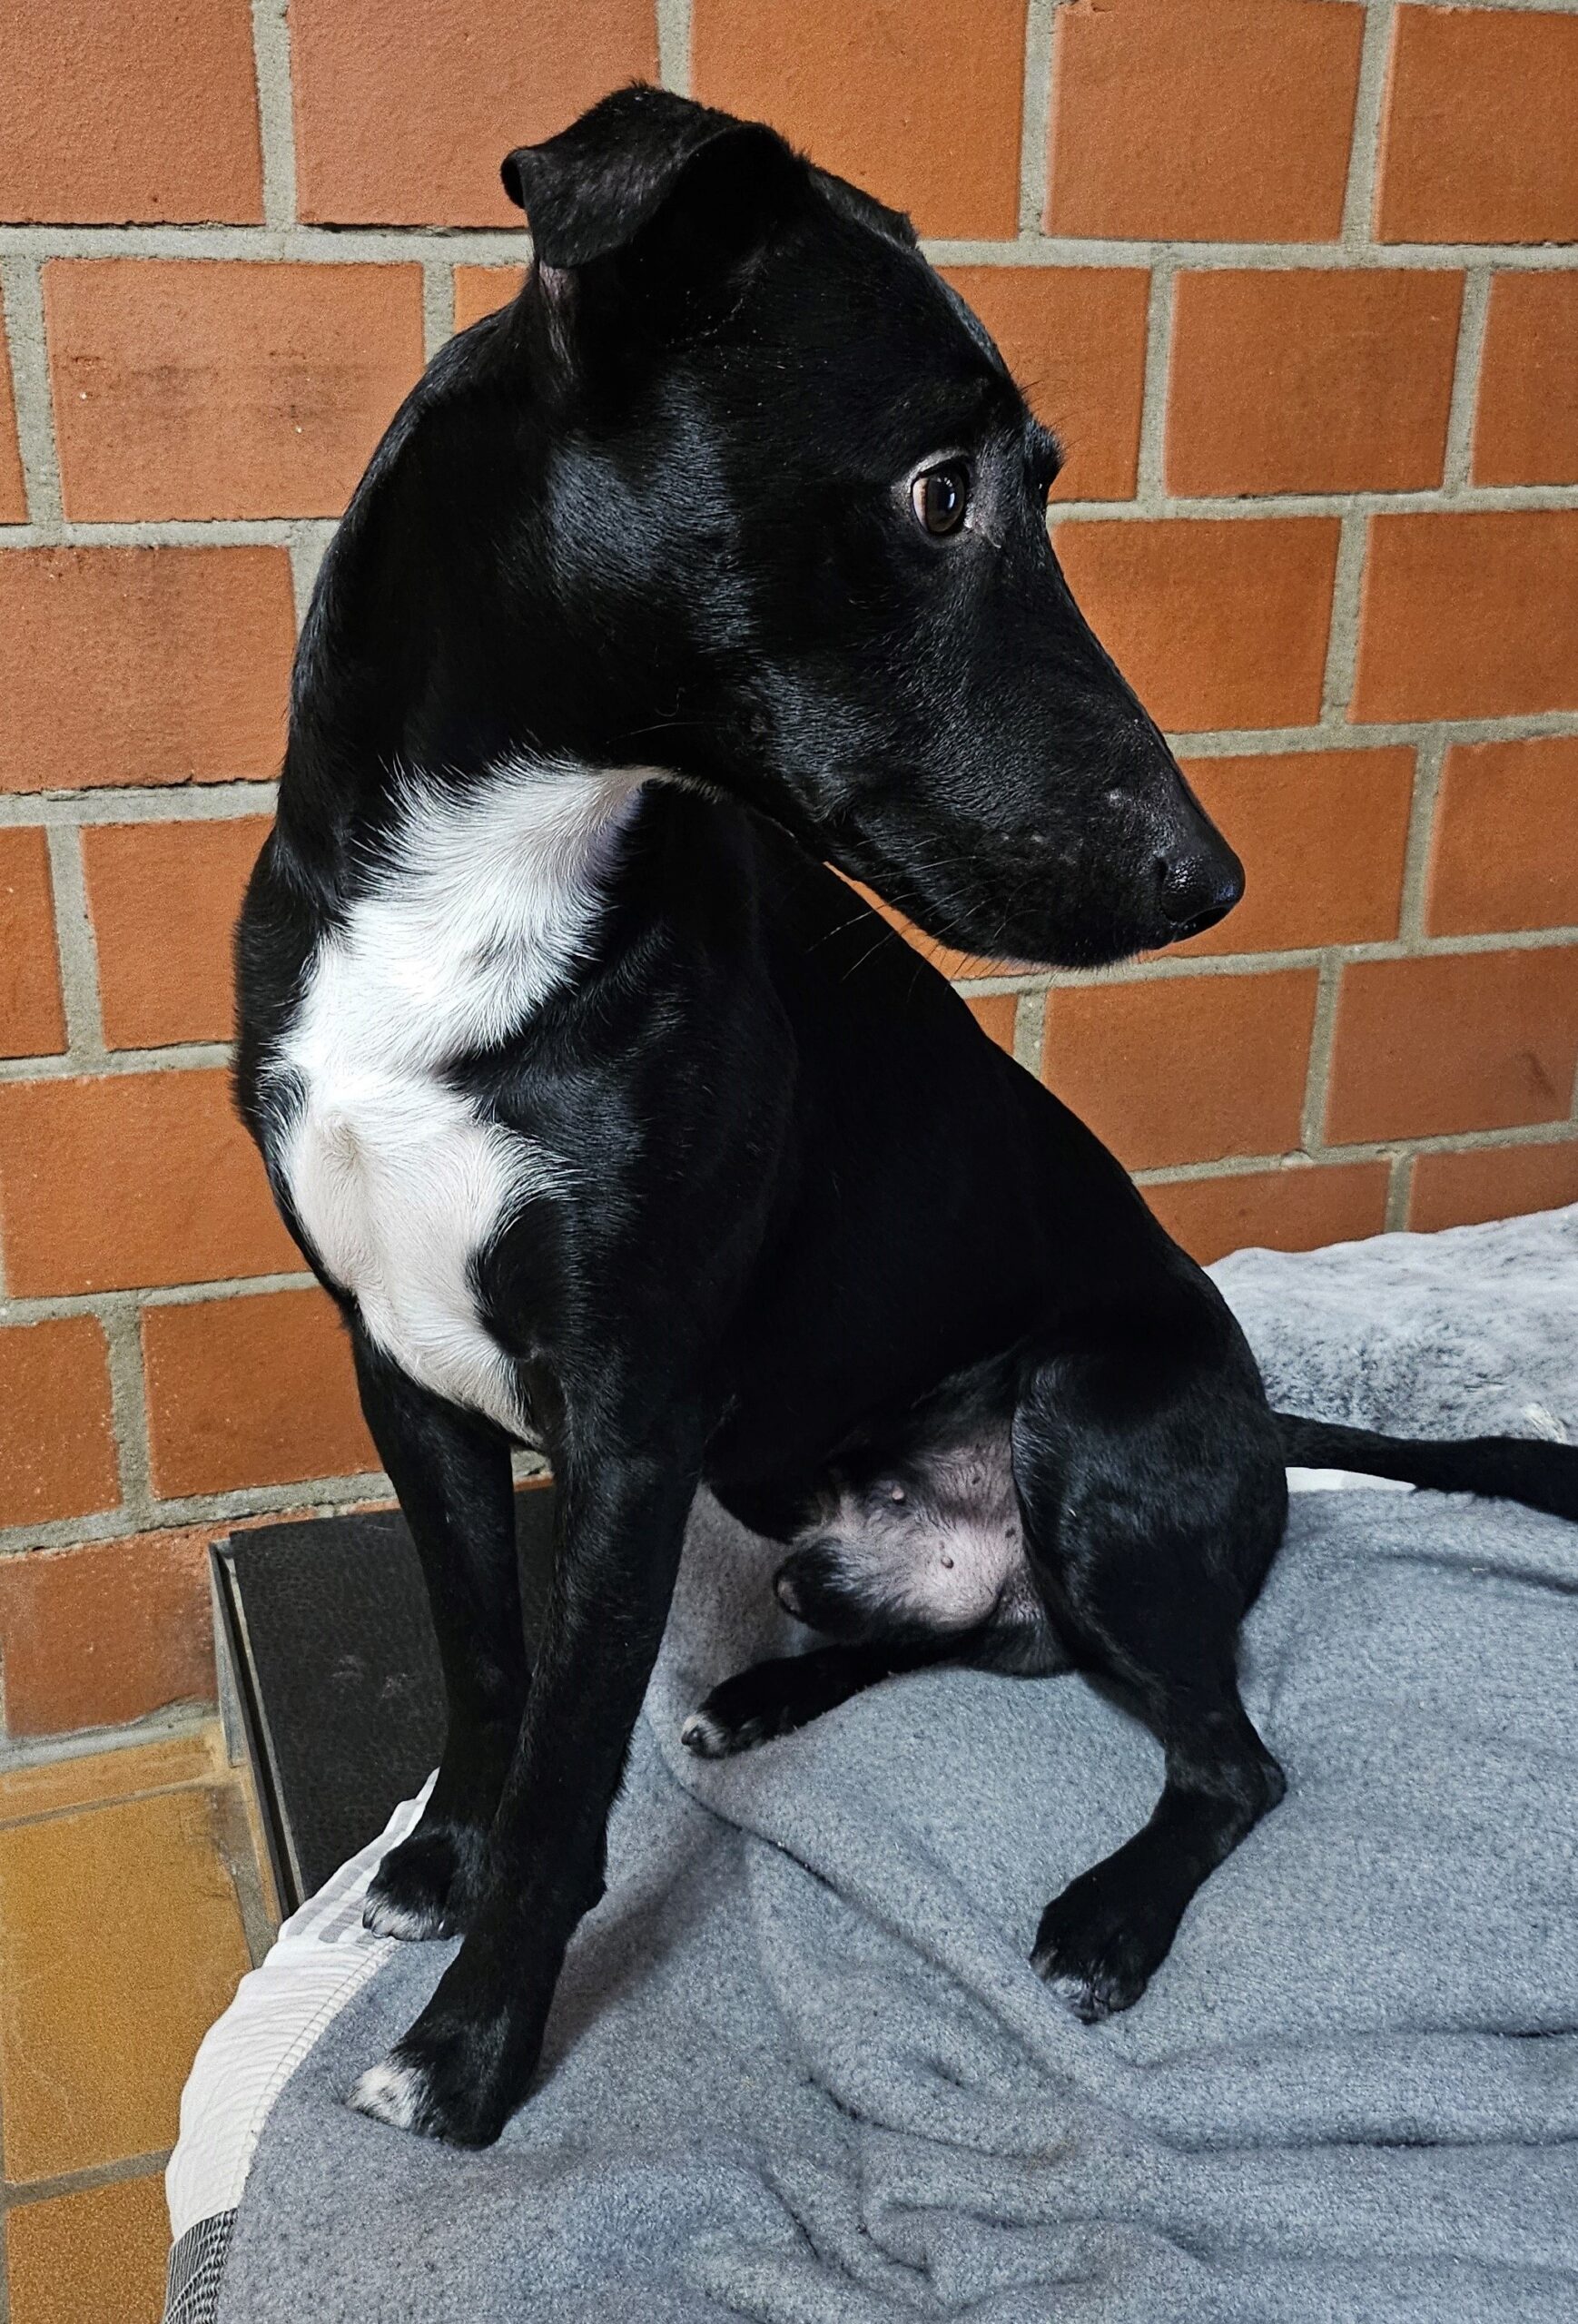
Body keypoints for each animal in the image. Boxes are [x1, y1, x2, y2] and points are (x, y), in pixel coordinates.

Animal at [235, 86, 1578, 2147]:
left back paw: (1105, 1919)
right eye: (939, 494)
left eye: (1038, 480)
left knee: (1231, 1758)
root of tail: (1260, 1422)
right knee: (969, 1642)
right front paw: (438, 1863)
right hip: (804, 1515)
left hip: (1090, 1424)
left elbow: (566, 1777)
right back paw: (765, 1698)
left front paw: (472, 2046)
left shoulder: (630, 1420)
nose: (1209, 881)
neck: (474, 893)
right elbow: (487, 1670)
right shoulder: (404, 1372)